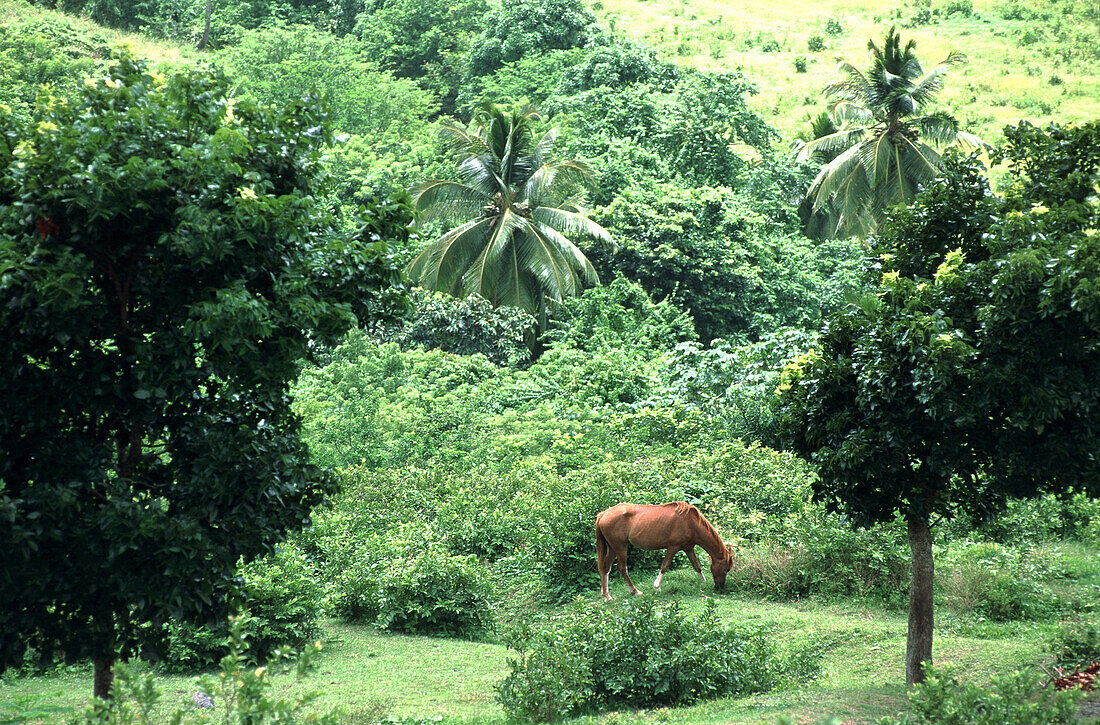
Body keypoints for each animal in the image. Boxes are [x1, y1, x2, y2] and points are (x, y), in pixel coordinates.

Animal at [594, 501, 730, 602]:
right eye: (725, 569)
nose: (719, 588)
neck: (690, 522)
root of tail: (604, 514)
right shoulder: (673, 547)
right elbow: (664, 566)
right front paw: (657, 587)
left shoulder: (689, 548)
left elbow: (697, 566)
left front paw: (703, 582)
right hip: (620, 547)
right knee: (622, 568)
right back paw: (635, 591)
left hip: (612, 548)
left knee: (605, 568)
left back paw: (606, 595)